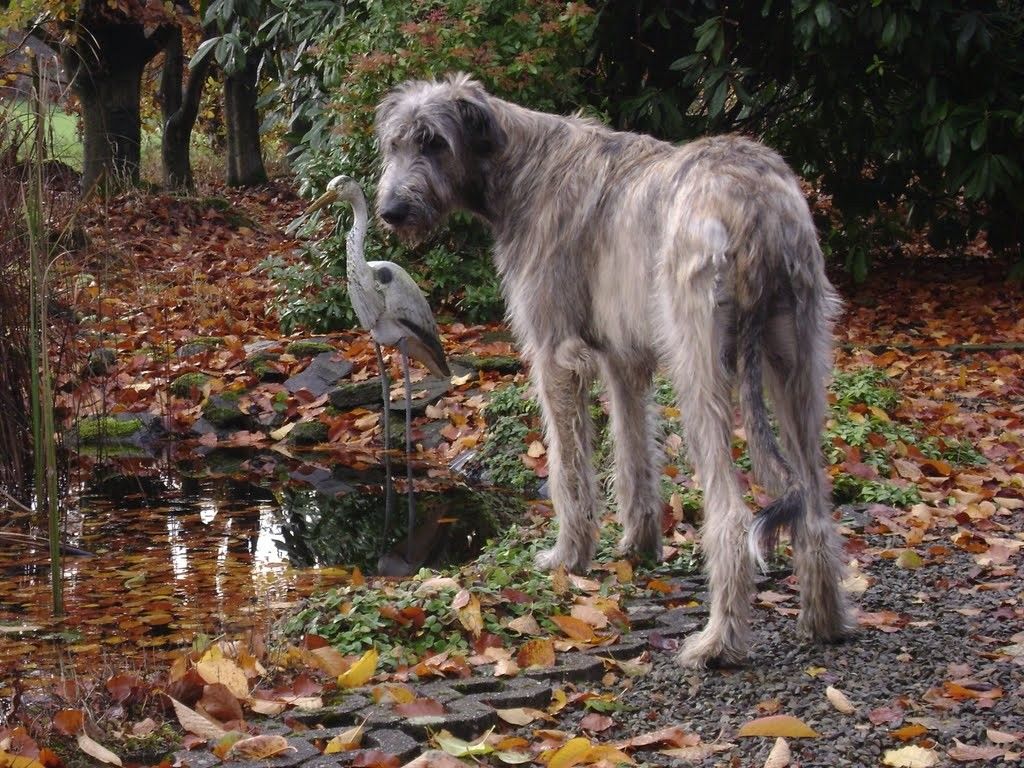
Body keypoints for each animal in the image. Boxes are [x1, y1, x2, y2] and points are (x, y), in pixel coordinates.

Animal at [372, 75, 851, 671]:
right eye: (394, 143)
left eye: (434, 141)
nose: (390, 210)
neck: (521, 165)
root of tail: (754, 203)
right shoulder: (624, 357)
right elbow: (631, 451)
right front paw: (638, 546)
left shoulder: (556, 353)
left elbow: (567, 465)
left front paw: (568, 555)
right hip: (798, 360)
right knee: (814, 497)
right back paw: (824, 619)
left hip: (701, 365)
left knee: (730, 515)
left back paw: (718, 641)